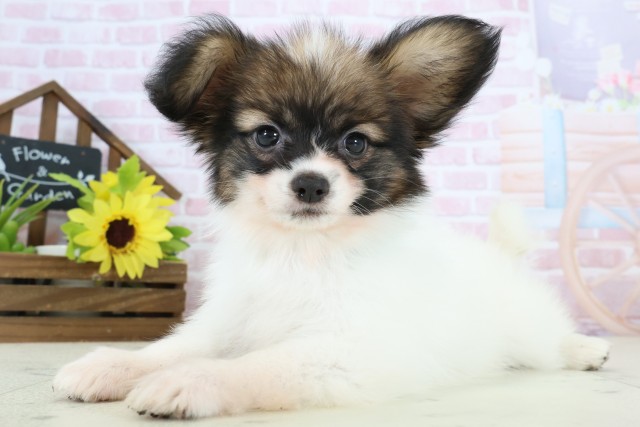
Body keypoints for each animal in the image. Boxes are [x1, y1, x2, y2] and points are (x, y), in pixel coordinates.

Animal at [53, 15, 610, 419]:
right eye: (267, 135)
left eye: (355, 142)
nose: (311, 184)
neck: (302, 250)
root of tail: (498, 258)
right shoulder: (227, 321)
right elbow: (174, 345)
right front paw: (114, 365)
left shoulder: (357, 351)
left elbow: (262, 363)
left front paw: (191, 381)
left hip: (526, 329)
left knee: (548, 339)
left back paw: (587, 349)